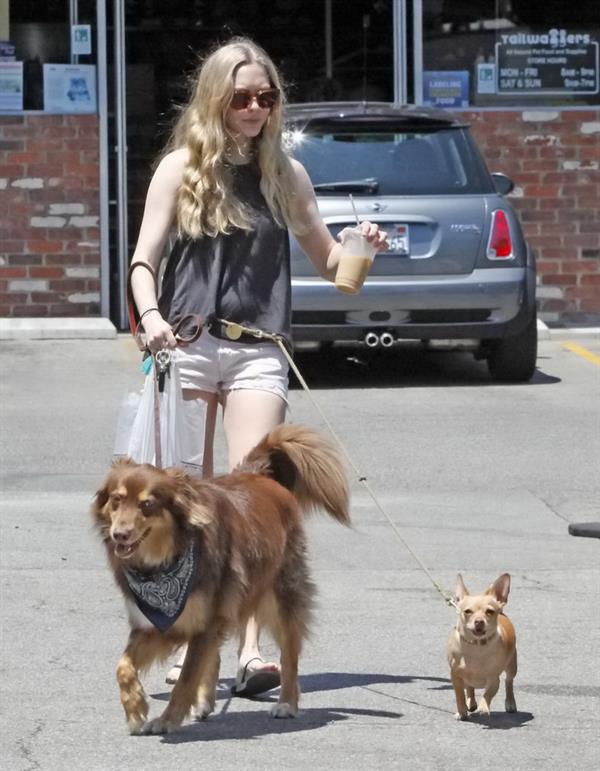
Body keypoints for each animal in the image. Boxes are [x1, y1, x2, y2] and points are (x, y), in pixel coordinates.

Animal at [91, 426, 350, 732]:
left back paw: (287, 703)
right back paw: (204, 703)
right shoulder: (157, 623)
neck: (164, 561)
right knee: (213, 655)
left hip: (281, 594)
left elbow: (186, 680)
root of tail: (259, 475)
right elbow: (123, 666)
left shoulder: (203, 621)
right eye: (116, 500)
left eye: (147, 504)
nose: (119, 534)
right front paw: (135, 709)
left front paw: (167, 720)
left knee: (289, 653)